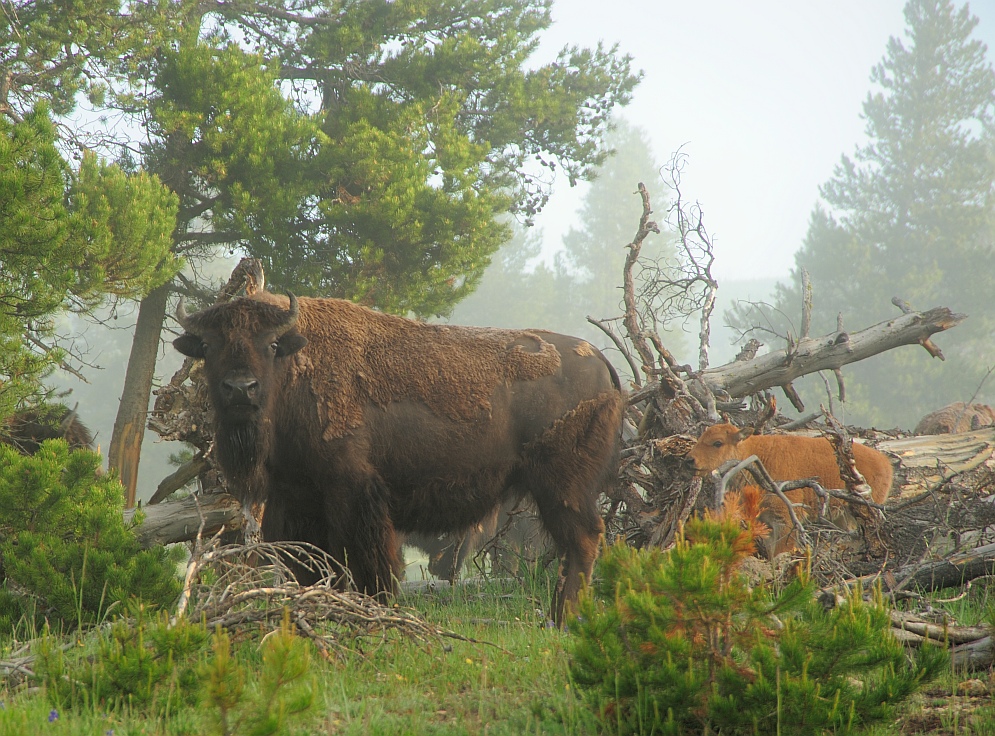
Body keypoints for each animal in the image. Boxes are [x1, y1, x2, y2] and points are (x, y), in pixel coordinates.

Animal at [172, 290, 624, 624]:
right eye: (208, 346)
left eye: (269, 345)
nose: (240, 389)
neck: (295, 367)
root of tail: (602, 361)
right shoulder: (294, 500)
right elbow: (310, 566)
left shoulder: (353, 493)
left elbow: (366, 563)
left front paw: (374, 609)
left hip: (562, 485)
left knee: (582, 541)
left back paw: (563, 619)